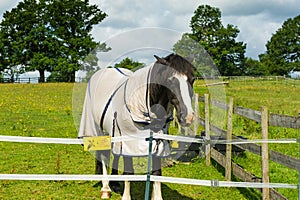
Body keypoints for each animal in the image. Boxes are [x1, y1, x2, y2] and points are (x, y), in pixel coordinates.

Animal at [78, 53, 195, 200]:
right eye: (170, 81)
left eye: (193, 79)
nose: (188, 117)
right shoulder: (128, 141)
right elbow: (129, 172)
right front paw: (125, 196)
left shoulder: (159, 143)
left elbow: (157, 173)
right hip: (100, 131)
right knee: (103, 156)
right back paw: (105, 188)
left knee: (115, 154)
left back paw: (115, 184)